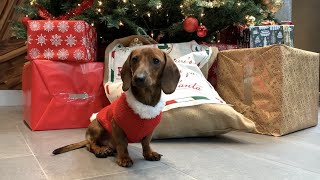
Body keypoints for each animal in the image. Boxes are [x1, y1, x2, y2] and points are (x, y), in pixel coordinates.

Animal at [51, 47, 179, 167]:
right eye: (134, 59)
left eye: (156, 61)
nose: (138, 78)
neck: (144, 101)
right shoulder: (116, 125)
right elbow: (122, 144)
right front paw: (124, 158)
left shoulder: (150, 129)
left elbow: (146, 142)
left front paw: (149, 153)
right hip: (97, 126)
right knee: (90, 144)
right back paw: (100, 150)